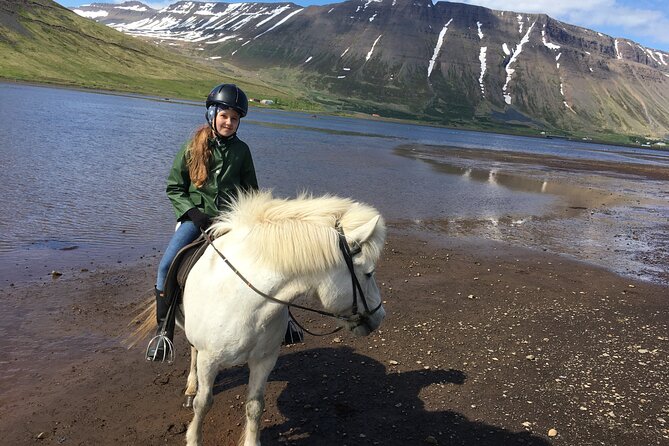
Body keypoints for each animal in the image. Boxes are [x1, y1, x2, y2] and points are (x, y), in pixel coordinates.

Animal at [141, 191, 386, 446]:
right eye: (368, 273)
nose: (380, 315)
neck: (243, 301)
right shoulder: (209, 360)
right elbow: (203, 403)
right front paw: (194, 438)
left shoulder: (264, 360)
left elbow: (255, 406)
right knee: (192, 353)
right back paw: (190, 386)